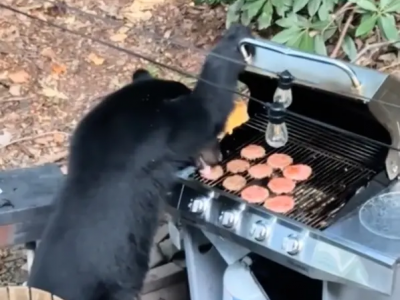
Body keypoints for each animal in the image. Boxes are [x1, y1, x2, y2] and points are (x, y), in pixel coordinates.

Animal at [28, 24, 253, 300]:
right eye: (213, 139)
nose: (219, 155)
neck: (141, 99)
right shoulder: (159, 128)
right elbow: (205, 109)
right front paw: (233, 42)